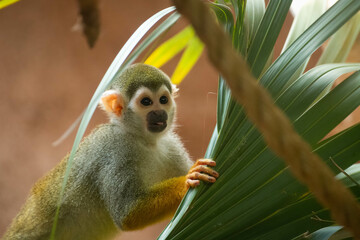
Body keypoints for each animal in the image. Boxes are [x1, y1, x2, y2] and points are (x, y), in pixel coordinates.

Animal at [2, 63, 218, 240]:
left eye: (163, 99)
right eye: (146, 102)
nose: (159, 113)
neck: (143, 140)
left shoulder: (170, 146)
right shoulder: (115, 150)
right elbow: (128, 213)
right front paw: (187, 180)